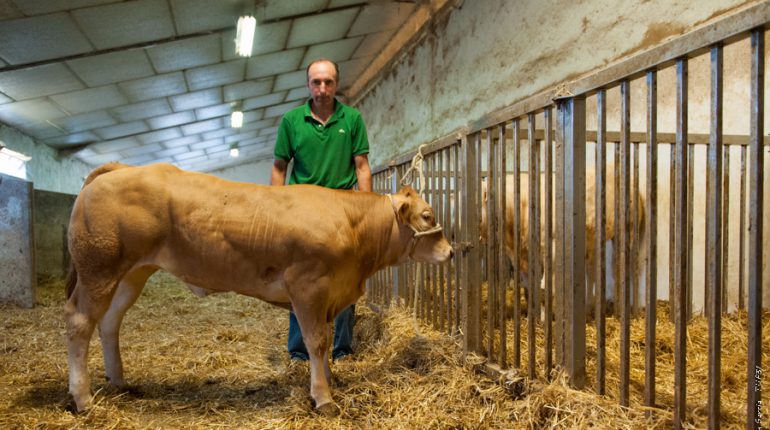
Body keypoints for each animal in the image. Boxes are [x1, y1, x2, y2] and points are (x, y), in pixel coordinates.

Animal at [66, 163, 452, 414]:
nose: (451, 251)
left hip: (131, 274)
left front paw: (329, 381)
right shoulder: (308, 286)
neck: (351, 226)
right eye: (428, 216)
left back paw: (119, 381)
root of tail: (120, 168)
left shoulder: (328, 296)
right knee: (80, 322)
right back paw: (83, 400)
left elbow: (325, 340)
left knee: (110, 321)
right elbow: (316, 341)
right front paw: (323, 398)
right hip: (98, 270)